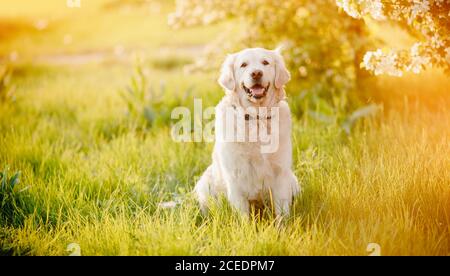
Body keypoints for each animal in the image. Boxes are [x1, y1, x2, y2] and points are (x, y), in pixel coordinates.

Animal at [195, 48, 300, 219]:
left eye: (265, 62)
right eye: (243, 65)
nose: (256, 73)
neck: (255, 117)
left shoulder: (281, 173)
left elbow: (282, 213)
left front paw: (283, 226)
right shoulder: (235, 176)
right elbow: (243, 216)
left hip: (294, 182)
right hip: (205, 184)